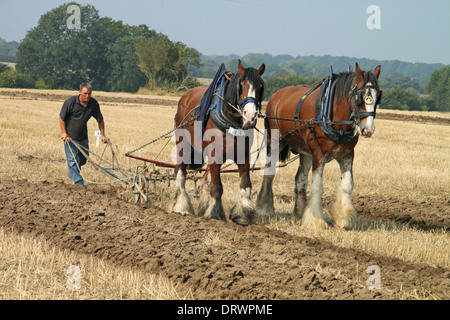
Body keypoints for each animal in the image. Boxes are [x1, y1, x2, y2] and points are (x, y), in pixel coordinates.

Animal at [171, 59, 266, 225]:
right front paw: (216, 214)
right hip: (184, 145)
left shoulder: (243, 156)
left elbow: (245, 185)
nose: (250, 116)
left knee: (204, 179)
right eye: (241, 84)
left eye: (261, 86)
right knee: (180, 174)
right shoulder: (215, 155)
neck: (232, 122)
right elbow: (216, 186)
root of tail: (185, 96)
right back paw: (182, 207)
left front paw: (240, 215)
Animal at [256, 63, 380, 230]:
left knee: (300, 180)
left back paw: (300, 212)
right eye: (360, 96)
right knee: (269, 173)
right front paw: (316, 220)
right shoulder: (318, 155)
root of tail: (277, 95)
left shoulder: (347, 155)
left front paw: (345, 218)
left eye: (377, 96)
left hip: (305, 152)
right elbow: (317, 186)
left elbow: (347, 184)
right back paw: (264, 209)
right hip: (274, 141)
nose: (368, 129)